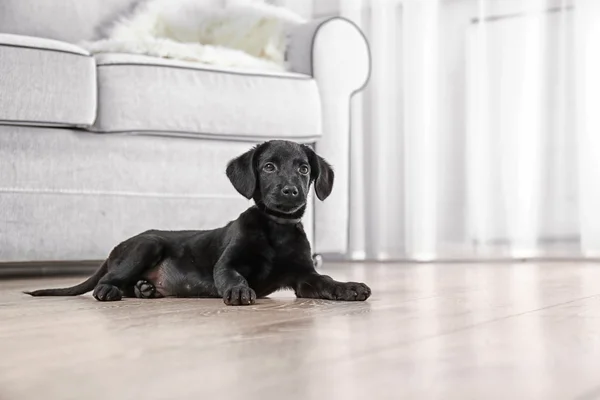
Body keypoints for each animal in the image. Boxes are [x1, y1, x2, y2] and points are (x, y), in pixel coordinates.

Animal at [27, 139, 370, 304]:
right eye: (269, 167)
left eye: (303, 169)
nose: (290, 191)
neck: (276, 229)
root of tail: (115, 249)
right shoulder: (227, 263)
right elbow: (232, 276)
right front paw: (239, 292)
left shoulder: (304, 277)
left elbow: (327, 281)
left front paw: (349, 287)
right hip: (147, 244)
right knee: (107, 280)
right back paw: (111, 291)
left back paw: (144, 290)